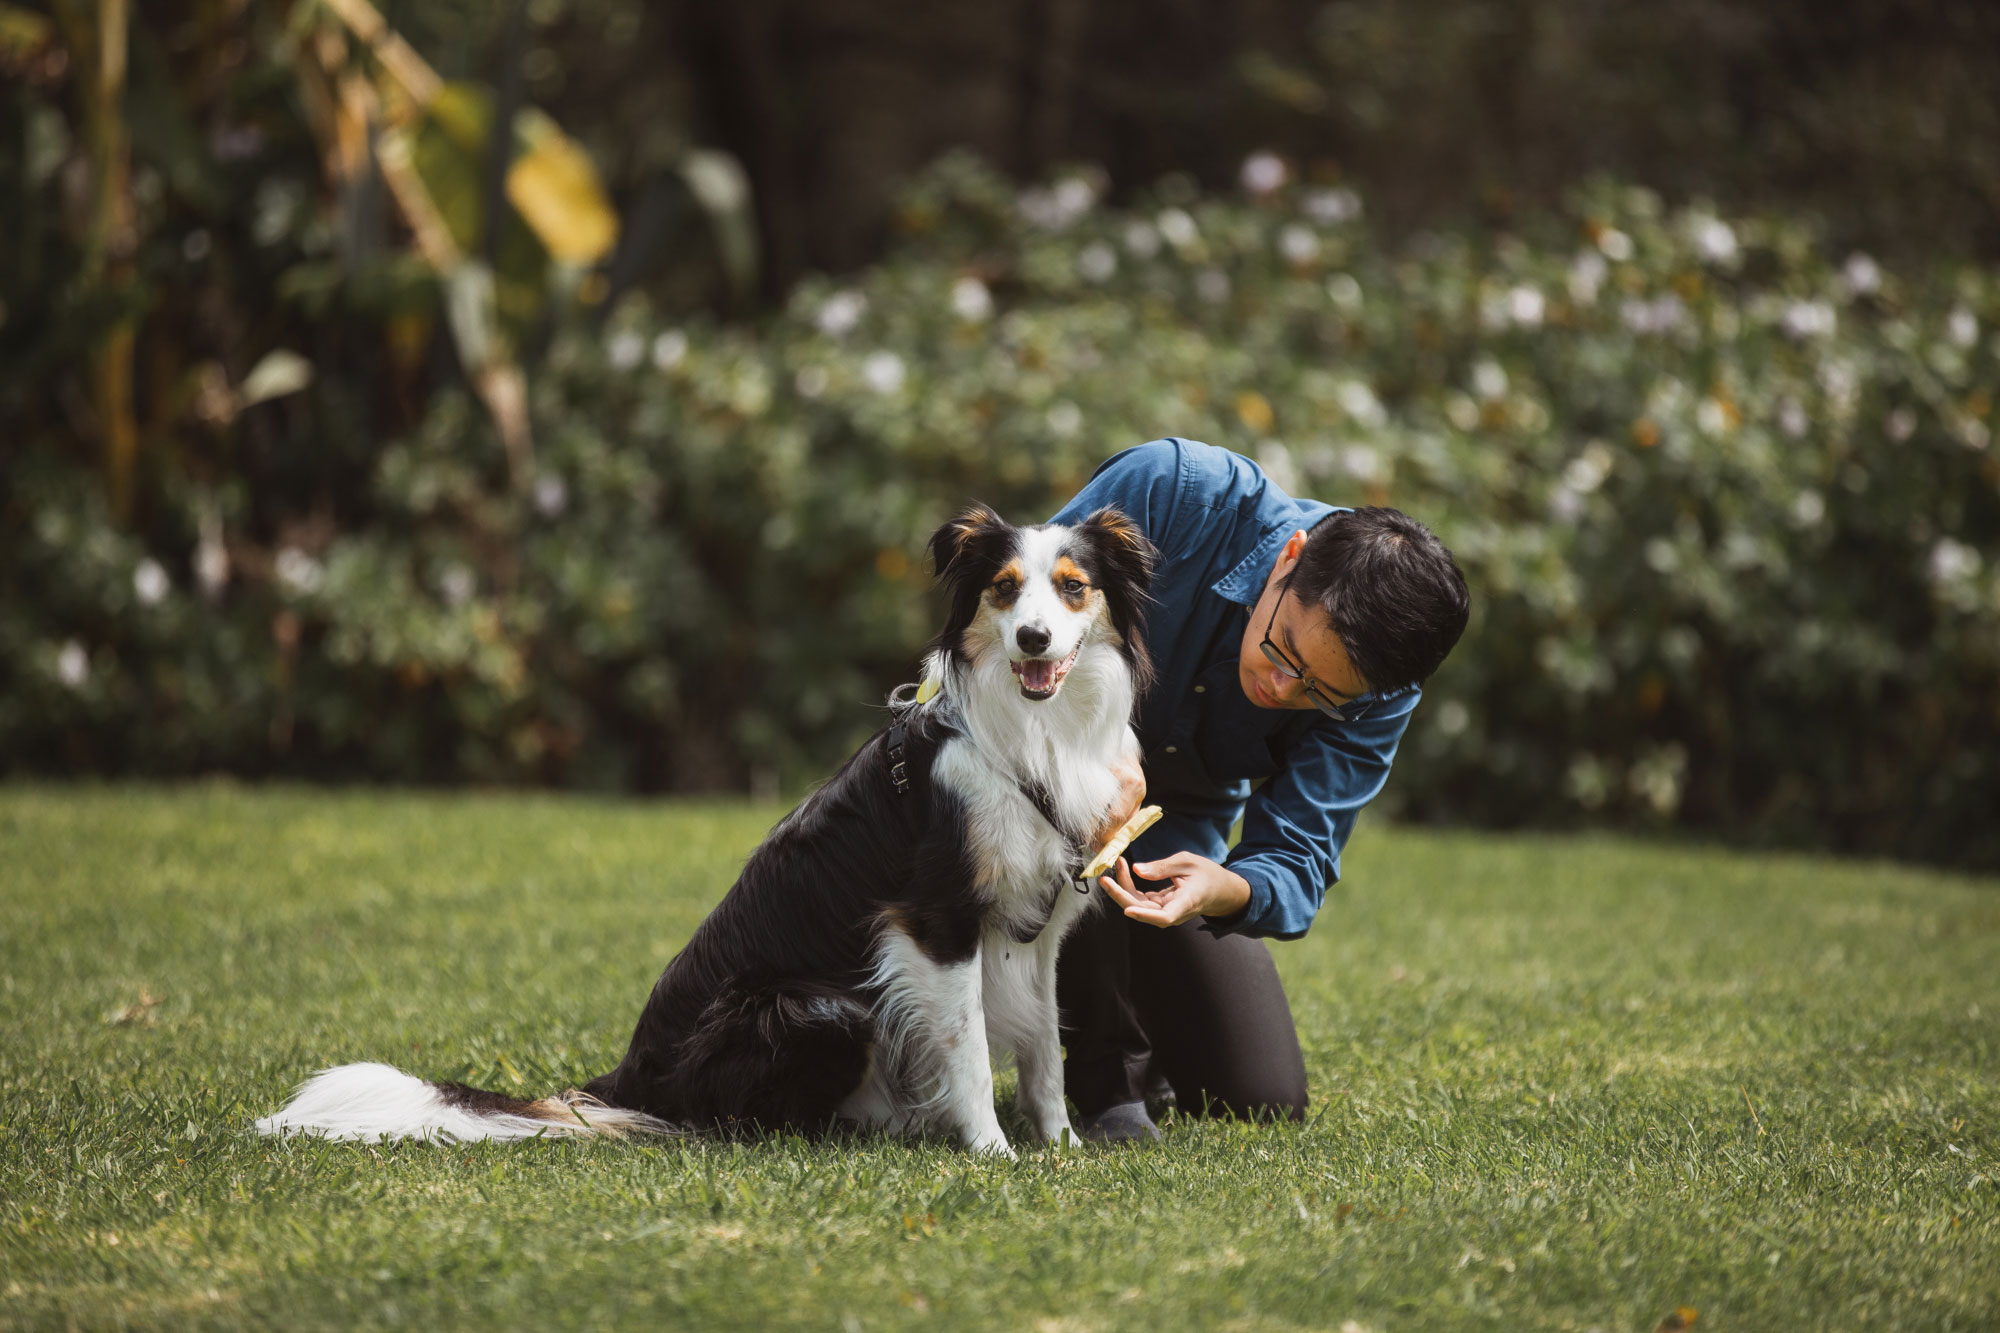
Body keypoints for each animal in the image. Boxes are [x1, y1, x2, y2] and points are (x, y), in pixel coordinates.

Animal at [252, 504, 1160, 1144]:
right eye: (1003, 587)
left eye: (1073, 587)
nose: (1034, 638)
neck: (1030, 732)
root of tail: (632, 1078)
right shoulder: (933, 919)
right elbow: (968, 1048)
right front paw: (991, 1152)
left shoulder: (1039, 921)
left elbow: (1044, 1048)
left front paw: (1062, 1146)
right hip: (813, 1006)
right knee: (741, 1122)